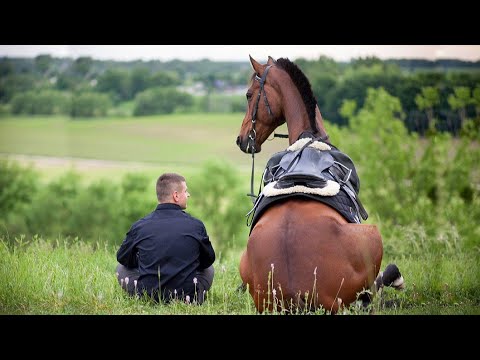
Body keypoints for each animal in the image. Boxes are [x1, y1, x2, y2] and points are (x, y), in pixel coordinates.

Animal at [234, 54, 404, 314]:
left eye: (248, 95)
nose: (242, 139)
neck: (309, 139)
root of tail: (296, 293)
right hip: (372, 236)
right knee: (375, 288)